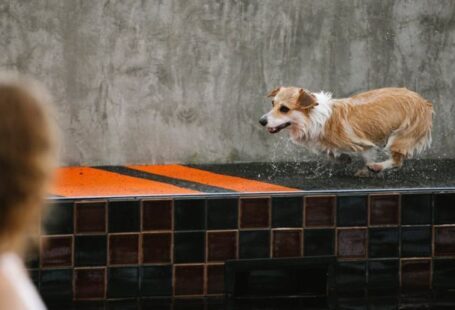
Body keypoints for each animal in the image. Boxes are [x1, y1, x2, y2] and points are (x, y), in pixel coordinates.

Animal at [260, 86, 434, 177]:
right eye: (272, 103)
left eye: (284, 109)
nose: (261, 121)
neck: (314, 118)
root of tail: (424, 101)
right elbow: (330, 153)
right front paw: (344, 159)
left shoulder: (362, 142)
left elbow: (367, 155)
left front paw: (366, 169)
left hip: (401, 136)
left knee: (397, 161)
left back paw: (378, 167)